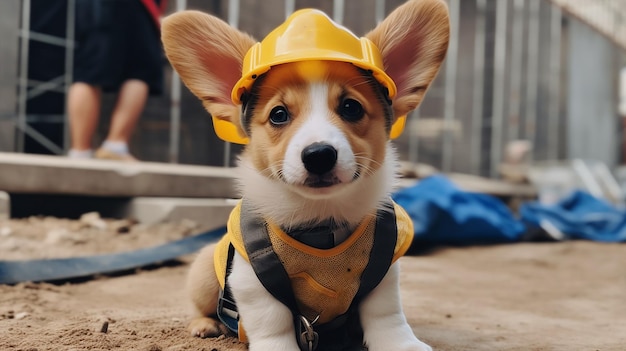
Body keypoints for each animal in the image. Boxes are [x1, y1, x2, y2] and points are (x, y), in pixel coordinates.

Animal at [162, 1, 448, 350]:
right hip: (204, 271)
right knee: (200, 306)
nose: (319, 155)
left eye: (351, 107)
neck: (321, 220)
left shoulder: (385, 271)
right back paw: (205, 325)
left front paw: (402, 344)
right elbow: (272, 321)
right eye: (278, 115)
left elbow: (386, 314)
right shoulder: (249, 280)